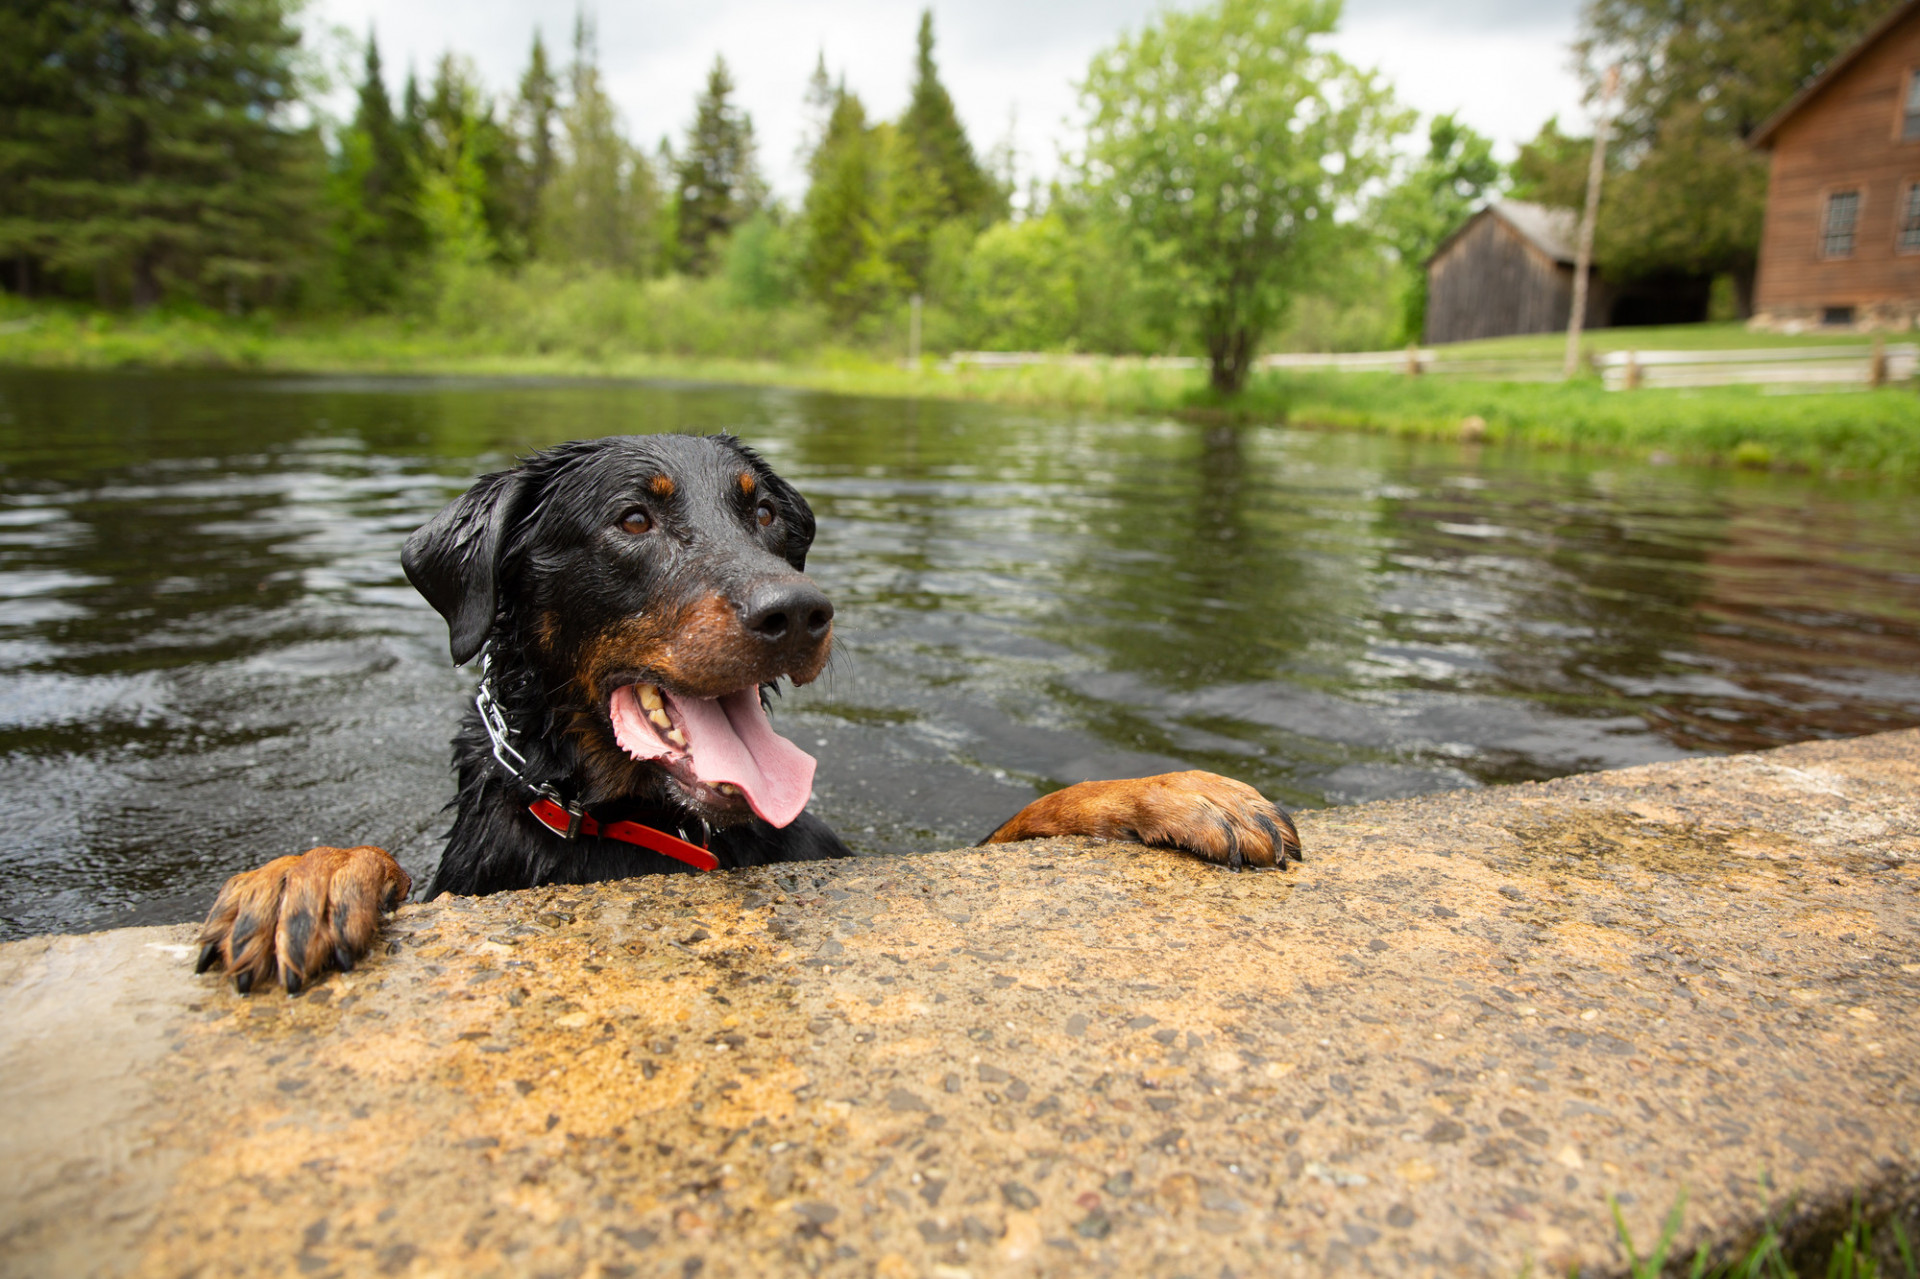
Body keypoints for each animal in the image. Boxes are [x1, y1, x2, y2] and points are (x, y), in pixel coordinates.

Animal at [194, 434, 1305, 990]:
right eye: (633, 519)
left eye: (763, 511)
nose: (798, 610)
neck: (667, 833)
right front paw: (302, 877)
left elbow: (1035, 811)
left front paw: (1182, 791)